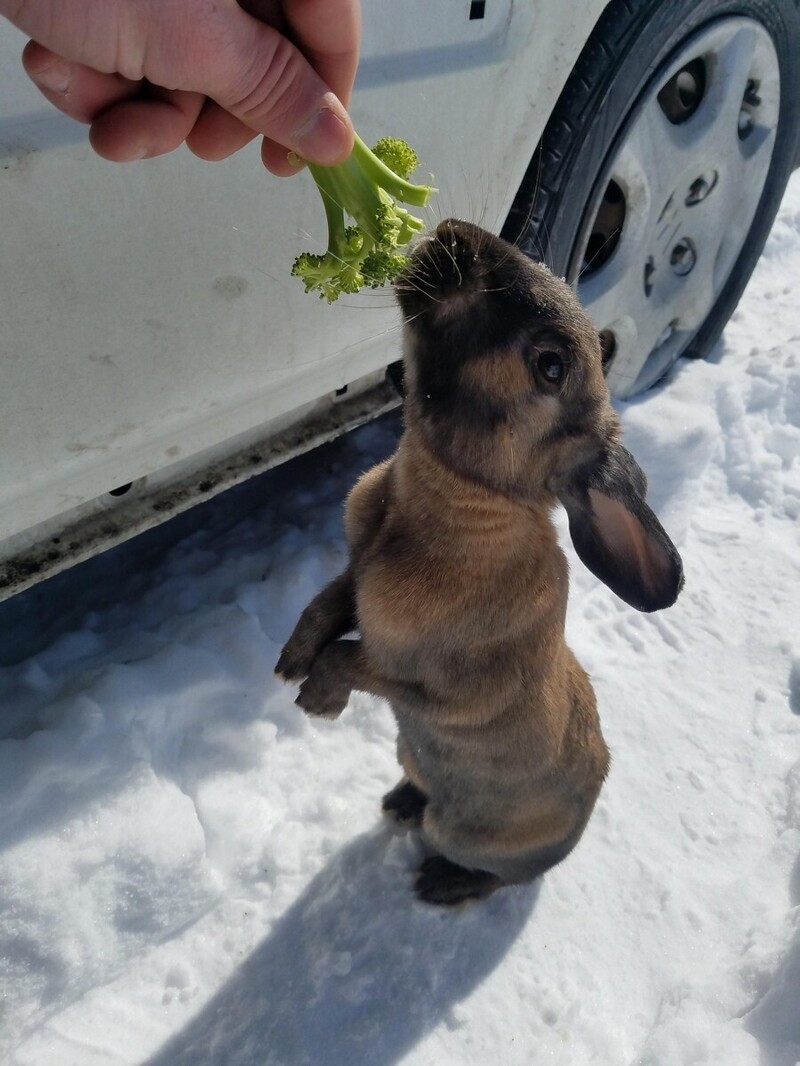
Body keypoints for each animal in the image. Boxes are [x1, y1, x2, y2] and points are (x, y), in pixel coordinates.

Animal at [275, 220, 682, 903]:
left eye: (551, 365)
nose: (455, 233)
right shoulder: (354, 573)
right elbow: (326, 606)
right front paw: (288, 665)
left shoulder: (437, 689)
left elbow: (352, 659)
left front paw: (316, 702)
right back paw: (400, 804)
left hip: (466, 835)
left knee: (492, 877)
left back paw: (440, 882)